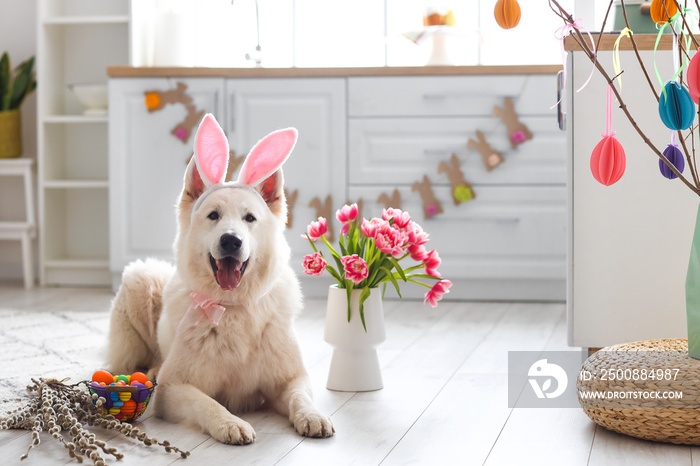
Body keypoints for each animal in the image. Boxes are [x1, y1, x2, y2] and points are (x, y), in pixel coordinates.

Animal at [106, 113, 334, 444]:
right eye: (213, 215)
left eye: (249, 218)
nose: (231, 241)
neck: (233, 307)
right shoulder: (172, 389)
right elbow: (206, 403)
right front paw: (230, 423)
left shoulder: (291, 378)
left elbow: (299, 397)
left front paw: (312, 416)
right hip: (140, 278)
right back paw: (151, 371)